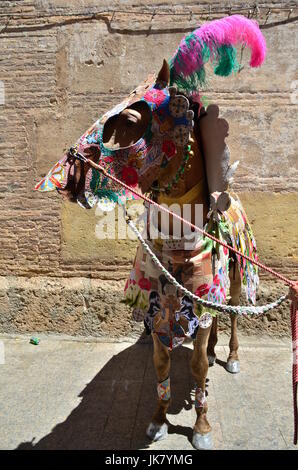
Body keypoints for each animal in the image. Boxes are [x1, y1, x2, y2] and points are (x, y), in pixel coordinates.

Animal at [35, 13, 266, 448]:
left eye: (128, 120)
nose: (69, 168)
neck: (177, 241)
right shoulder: (158, 307)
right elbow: (161, 364)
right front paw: (159, 420)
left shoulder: (201, 299)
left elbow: (196, 367)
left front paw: (201, 427)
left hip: (236, 279)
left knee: (231, 316)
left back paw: (230, 357)